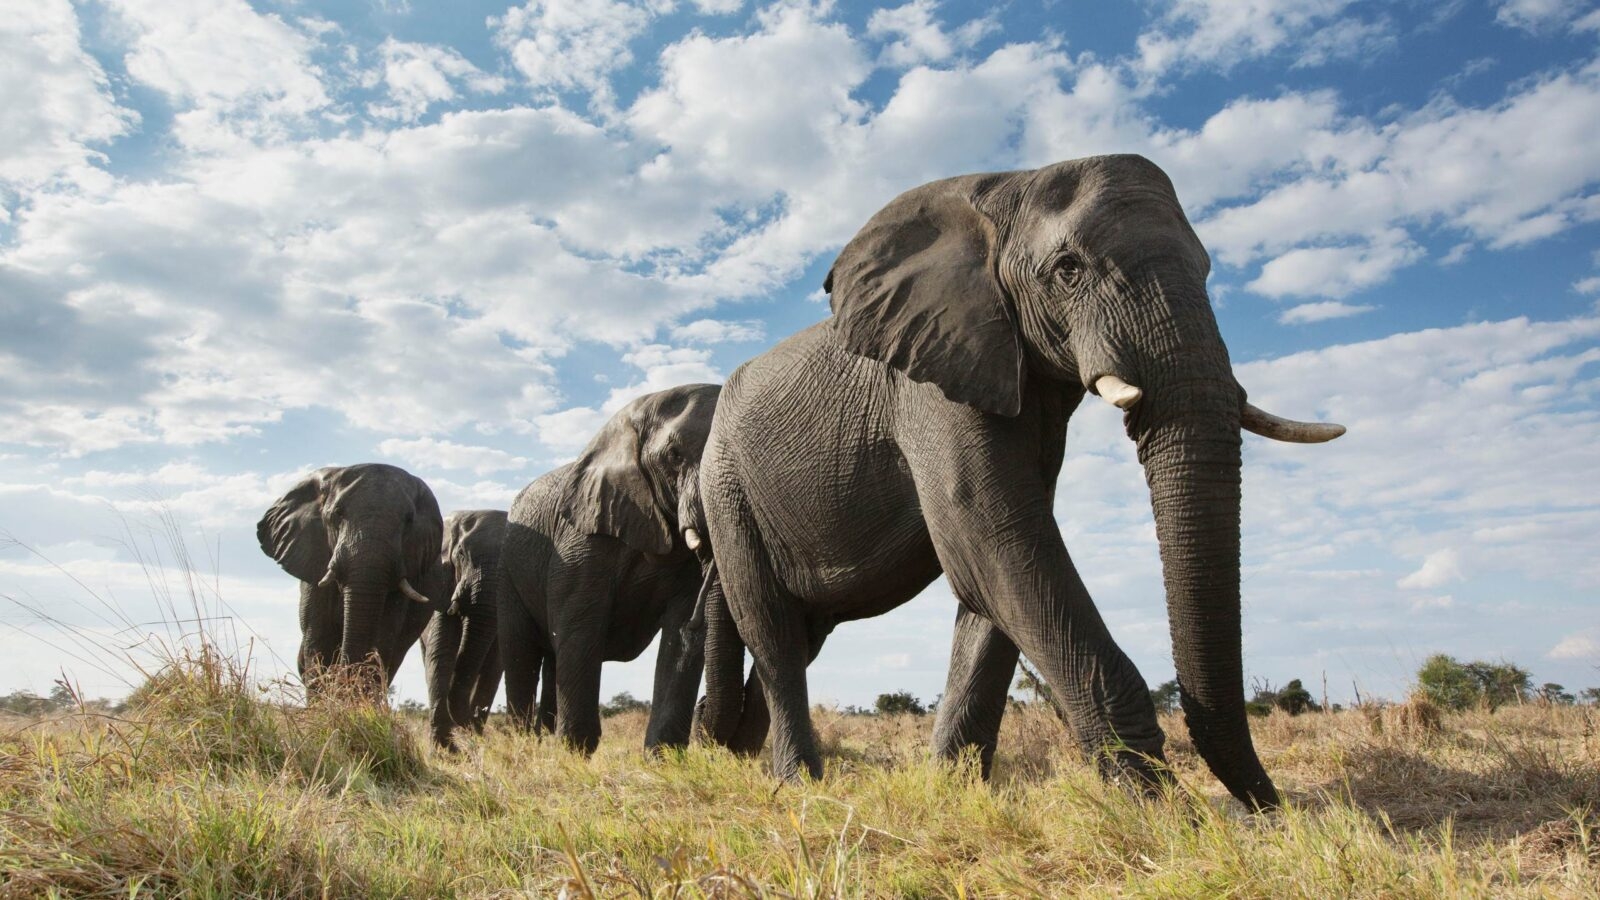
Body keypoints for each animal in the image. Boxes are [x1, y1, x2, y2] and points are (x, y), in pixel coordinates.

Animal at [498, 383, 733, 754]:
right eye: (674, 456)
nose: (704, 705)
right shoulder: (583, 538)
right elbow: (581, 628)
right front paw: (575, 753)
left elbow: (680, 640)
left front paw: (662, 757)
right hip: (508, 570)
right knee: (520, 652)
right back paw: (523, 743)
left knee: (551, 659)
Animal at [696, 154, 1344, 809]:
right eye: (1068, 270)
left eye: (1208, 269)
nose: (1270, 807)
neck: (1008, 187)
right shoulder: (931, 383)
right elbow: (995, 537)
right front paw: (1158, 809)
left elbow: (995, 574)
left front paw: (953, 795)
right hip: (727, 488)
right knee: (773, 632)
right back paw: (796, 787)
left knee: (805, 631)